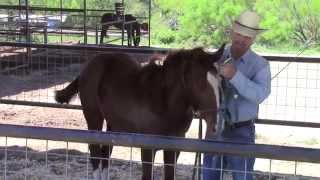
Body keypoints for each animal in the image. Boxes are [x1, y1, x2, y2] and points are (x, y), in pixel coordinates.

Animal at [54, 44, 225, 180]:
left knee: (105, 153)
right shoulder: (147, 148)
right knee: (95, 154)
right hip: (93, 118)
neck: (164, 102)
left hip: (112, 124)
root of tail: (87, 67)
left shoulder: (174, 147)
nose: (216, 126)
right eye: (200, 83)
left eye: (219, 80)